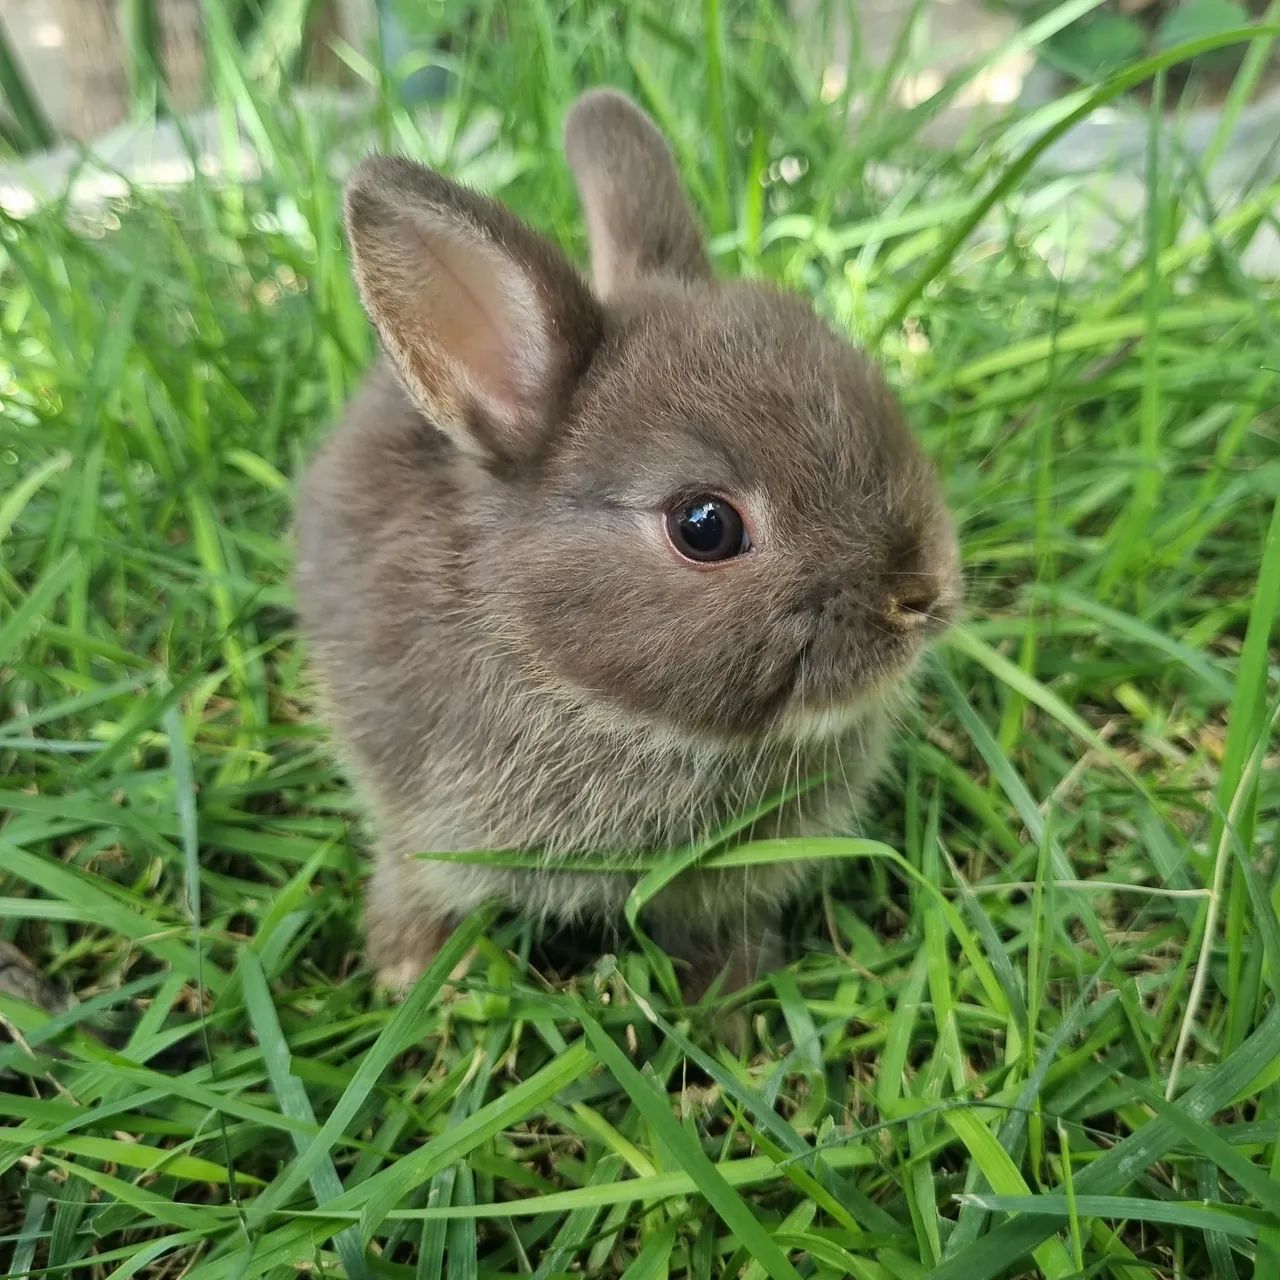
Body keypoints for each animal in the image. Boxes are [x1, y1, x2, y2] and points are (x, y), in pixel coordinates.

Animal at [294, 88, 961, 1010]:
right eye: (705, 526)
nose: (921, 595)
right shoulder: (420, 817)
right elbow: (413, 884)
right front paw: (416, 979)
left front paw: (730, 1014)